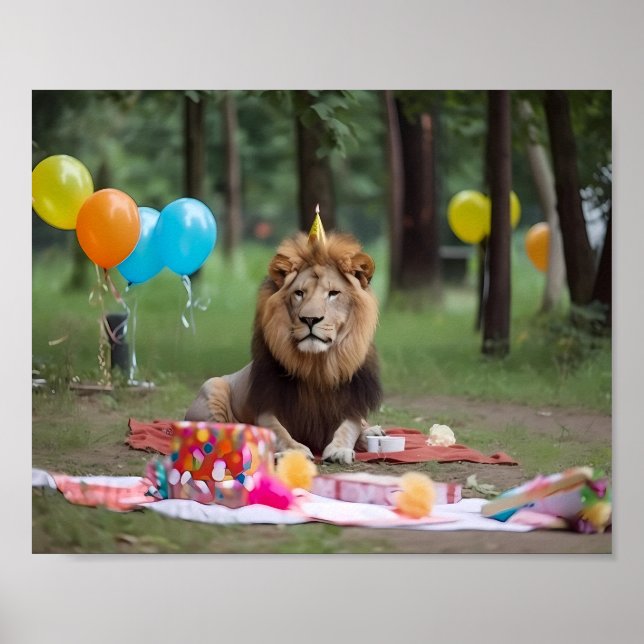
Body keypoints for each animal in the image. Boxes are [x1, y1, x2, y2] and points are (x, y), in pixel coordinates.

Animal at [185, 223, 385, 463]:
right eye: (299, 293)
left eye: (333, 293)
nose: (310, 319)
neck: (317, 367)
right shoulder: (266, 406)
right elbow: (278, 430)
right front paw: (294, 450)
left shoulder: (352, 404)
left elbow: (348, 427)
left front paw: (339, 449)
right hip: (213, 387)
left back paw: (373, 432)